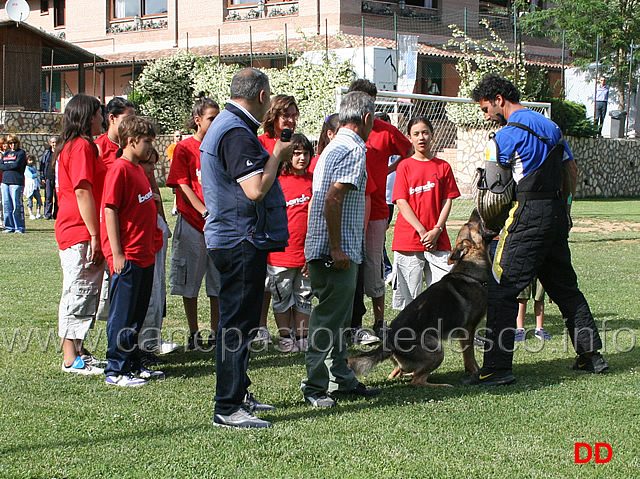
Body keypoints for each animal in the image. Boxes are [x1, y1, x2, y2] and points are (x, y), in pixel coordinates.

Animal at [350, 210, 496, 386]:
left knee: (398, 373)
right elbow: (470, 357)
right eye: (469, 224)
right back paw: (440, 385)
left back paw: (407, 374)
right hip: (437, 350)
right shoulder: (468, 329)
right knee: (417, 380)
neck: (471, 272)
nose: (475, 210)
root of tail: (389, 341)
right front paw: (475, 372)